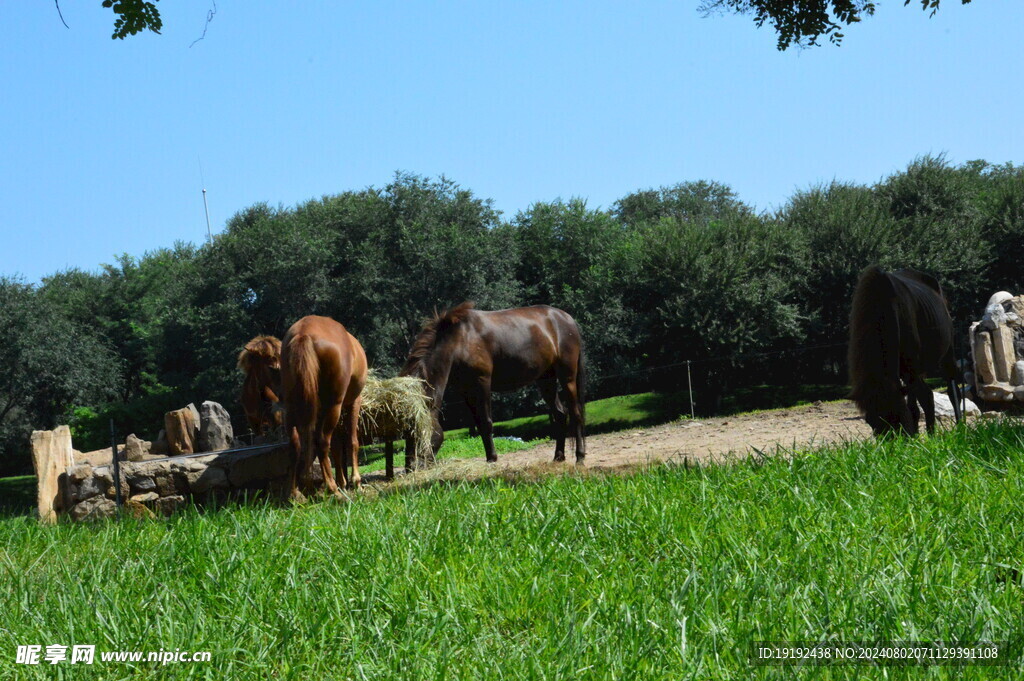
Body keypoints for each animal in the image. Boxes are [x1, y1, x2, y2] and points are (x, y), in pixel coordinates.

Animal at [282, 315, 370, 497]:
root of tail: (304, 333)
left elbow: (336, 446)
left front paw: (342, 481)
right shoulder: (352, 403)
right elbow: (352, 442)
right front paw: (355, 482)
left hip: (293, 407)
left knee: (295, 444)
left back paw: (294, 493)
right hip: (333, 407)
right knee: (322, 442)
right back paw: (332, 489)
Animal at [403, 303, 589, 462]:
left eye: (417, 431)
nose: (409, 467)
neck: (459, 340)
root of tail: (567, 318)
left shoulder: (482, 383)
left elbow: (486, 422)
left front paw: (492, 458)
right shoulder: (466, 390)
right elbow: (478, 423)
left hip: (567, 377)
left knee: (576, 413)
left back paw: (580, 456)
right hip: (546, 380)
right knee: (560, 414)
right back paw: (558, 456)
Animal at [847, 266, 958, 436]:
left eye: (899, 420)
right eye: (871, 422)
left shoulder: (910, 368)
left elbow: (926, 397)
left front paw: (931, 437)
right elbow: (916, 403)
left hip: (947, 352)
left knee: (951, 389)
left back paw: (962, 426)